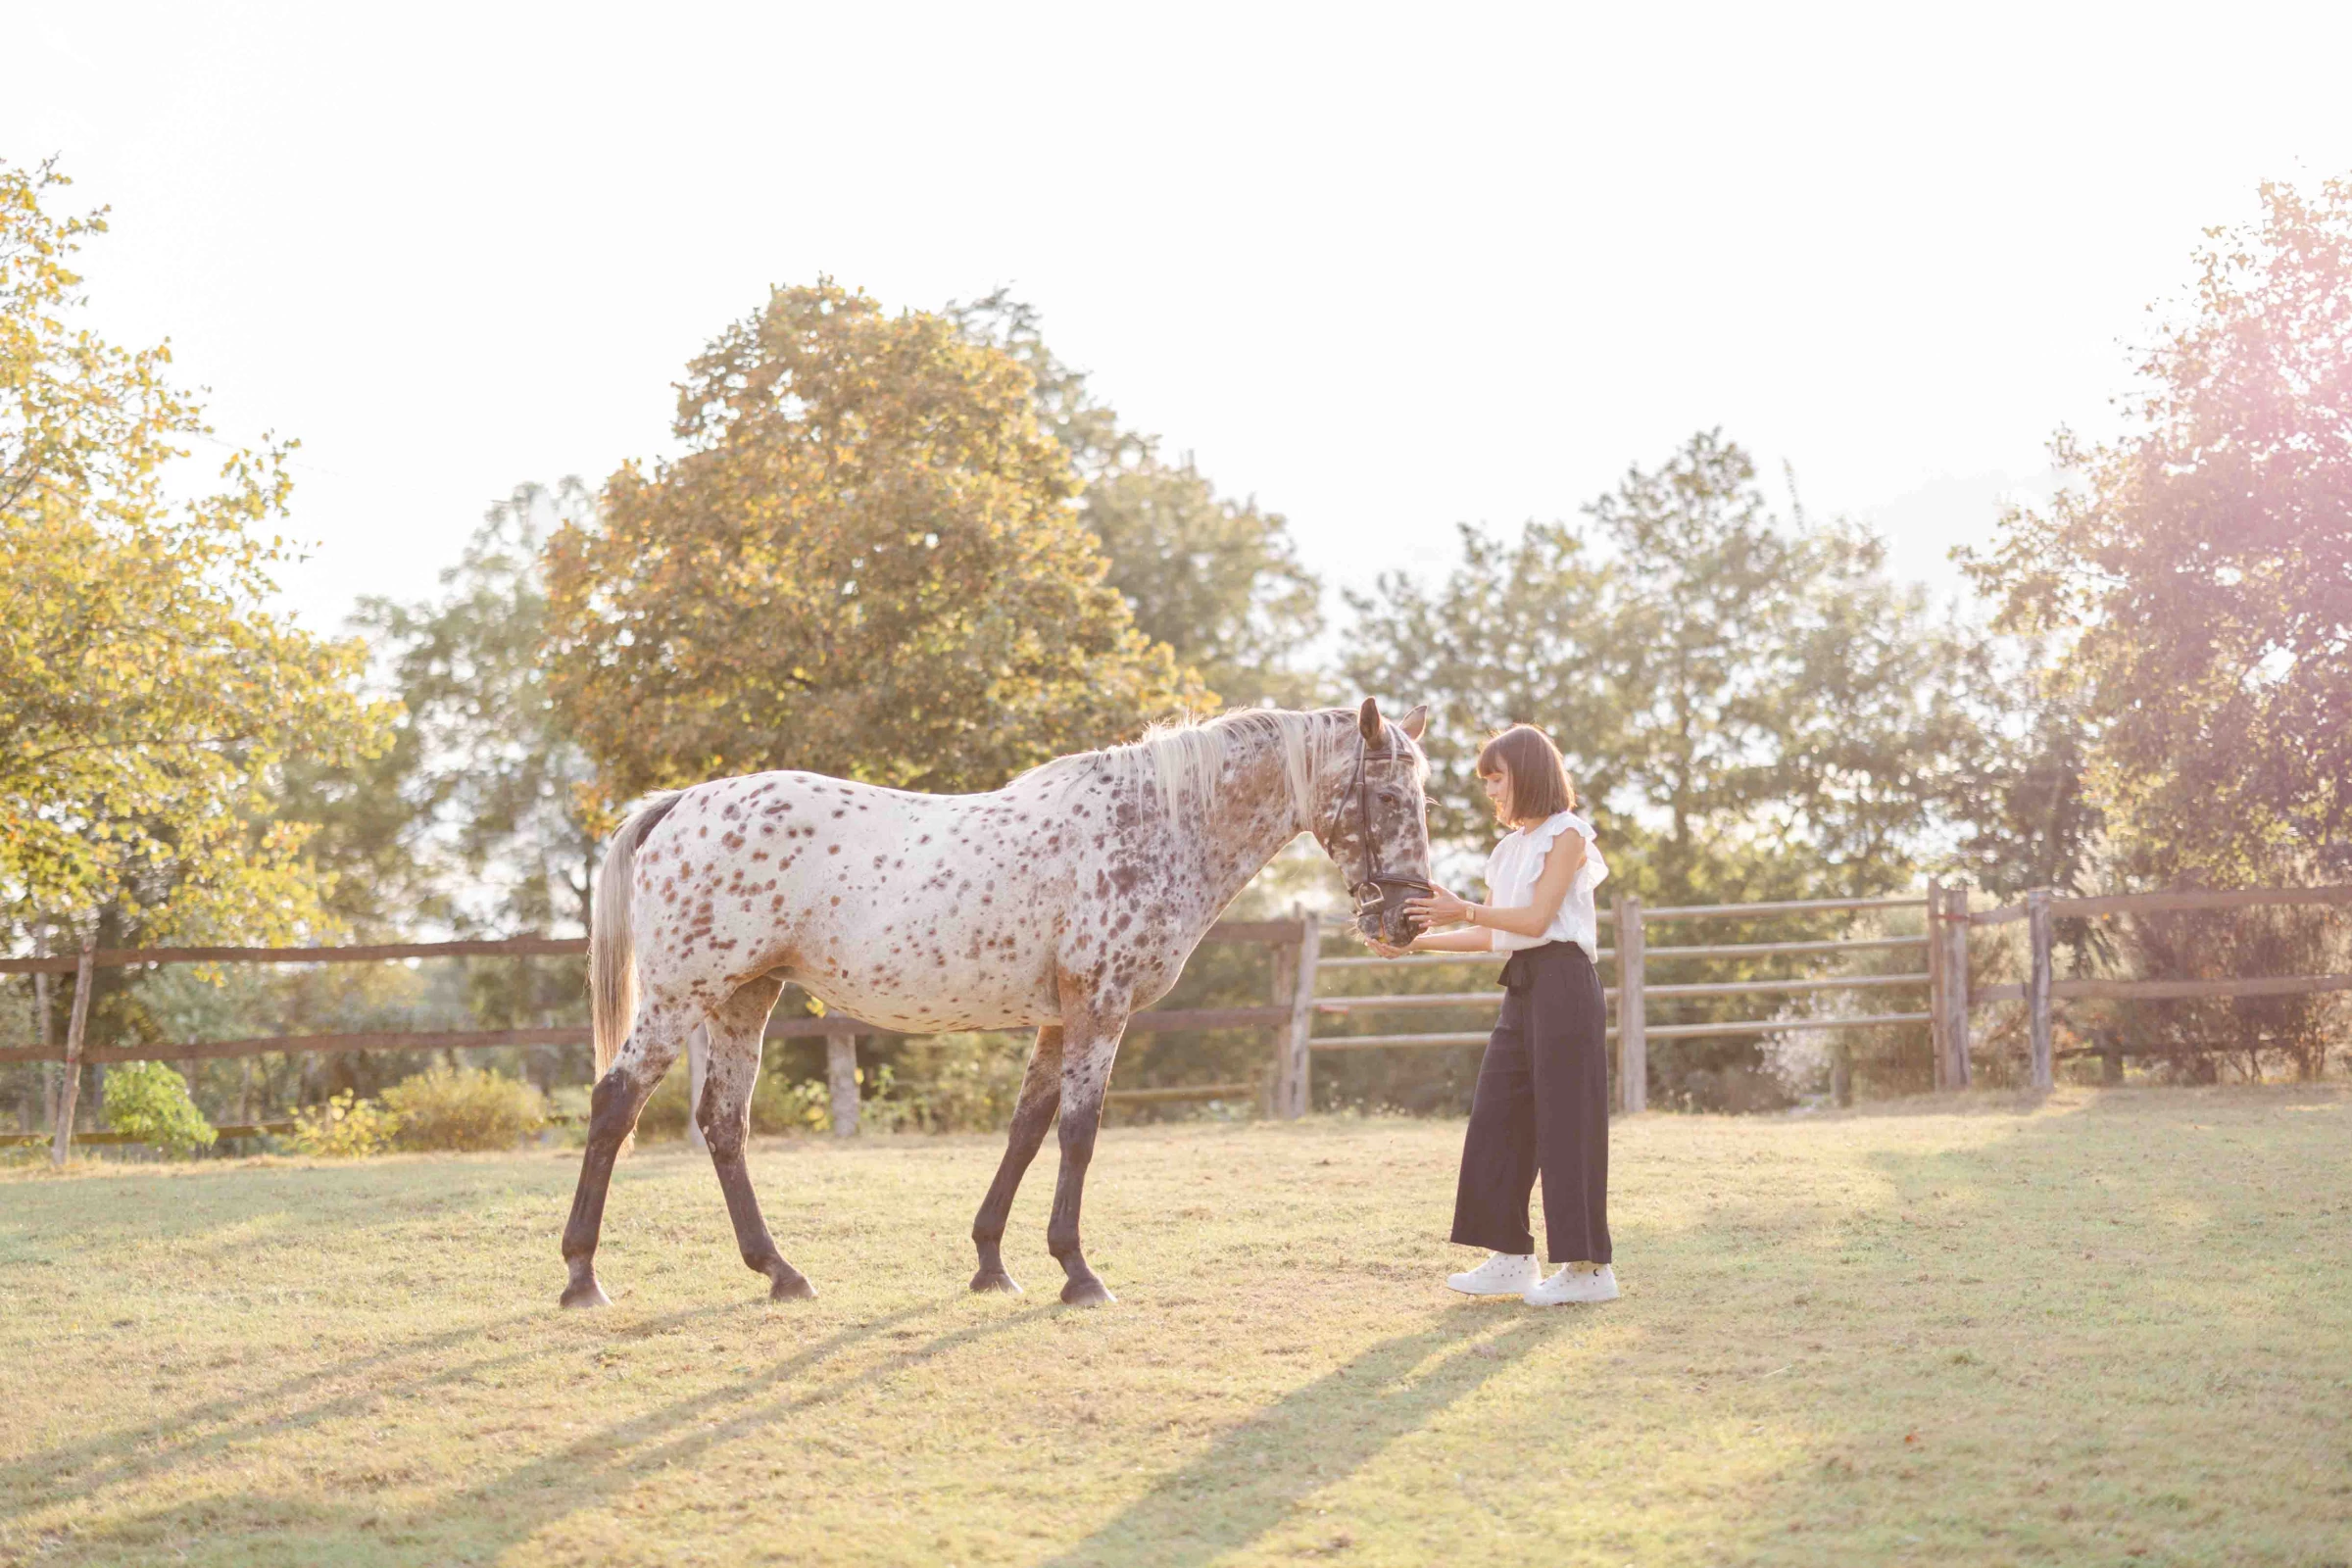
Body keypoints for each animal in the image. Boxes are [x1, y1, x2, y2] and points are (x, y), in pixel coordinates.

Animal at [558, 698, 1434, 1309]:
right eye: (1390, 798)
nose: (1405, 920)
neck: (1152, 826)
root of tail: (683, 802)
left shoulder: (1056, 1018)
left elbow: (1027, 1129)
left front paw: (991, 1264)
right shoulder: (1099, 1010)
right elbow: (1079, 1133)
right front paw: (1079, 1273)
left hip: (744, 999)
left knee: (723, 1124)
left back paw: (782, 1273)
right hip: (680, 998)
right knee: (615, 1104)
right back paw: (582, 1278)